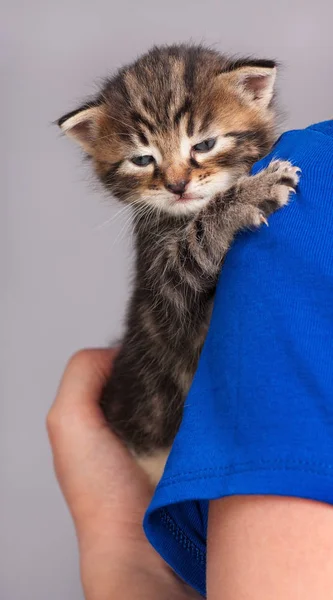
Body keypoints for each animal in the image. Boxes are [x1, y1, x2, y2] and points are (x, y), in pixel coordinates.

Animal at [57, 43, 298, 482]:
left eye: (203, 145)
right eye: (141, 160)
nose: (177, 184)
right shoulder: (164, 299)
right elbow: (194, 247)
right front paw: (248, 196)